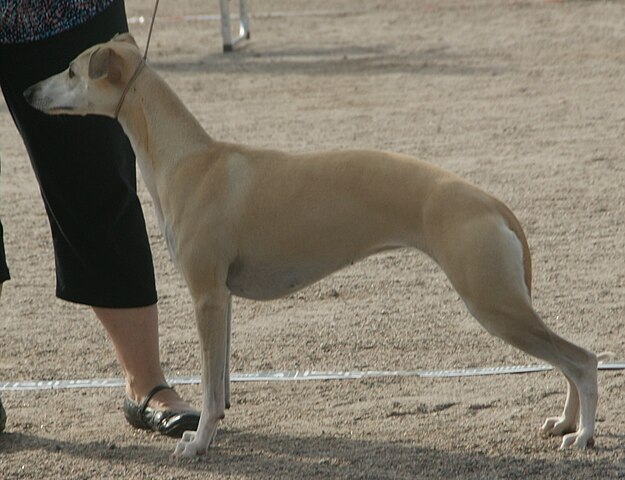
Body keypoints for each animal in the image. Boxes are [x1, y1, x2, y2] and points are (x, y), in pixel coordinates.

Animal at [24, 34, 600, 458]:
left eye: (71, 71)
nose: (28, 93)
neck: (189, 159)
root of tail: (492, 202)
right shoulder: (223, 298)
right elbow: (220, 383)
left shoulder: (206, 294)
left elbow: (208, 388)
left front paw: (196, 443)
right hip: (502, 302)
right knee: (569, 361)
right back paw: (564, 423)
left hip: (492, 302)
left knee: (583, 359)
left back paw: (584, 435)